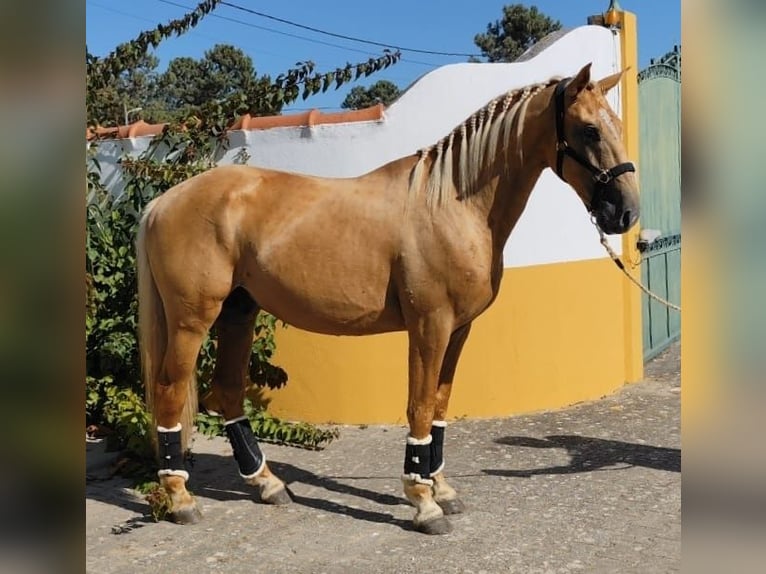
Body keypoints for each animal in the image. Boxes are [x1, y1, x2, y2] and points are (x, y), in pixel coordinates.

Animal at [138, 63, 640, 536]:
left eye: (615, 123)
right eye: (589, 130)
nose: (625, 213)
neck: (452, 204)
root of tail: (164, 201)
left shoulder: (459, 329)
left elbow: (439, 405)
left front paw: (442, 488)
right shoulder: (429, 325)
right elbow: (418, 407)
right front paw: (423, 503)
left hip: (239, 311)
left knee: (227, 391)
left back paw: (267, 484)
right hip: (191, 321)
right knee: (168, 390)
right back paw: (181, 498)